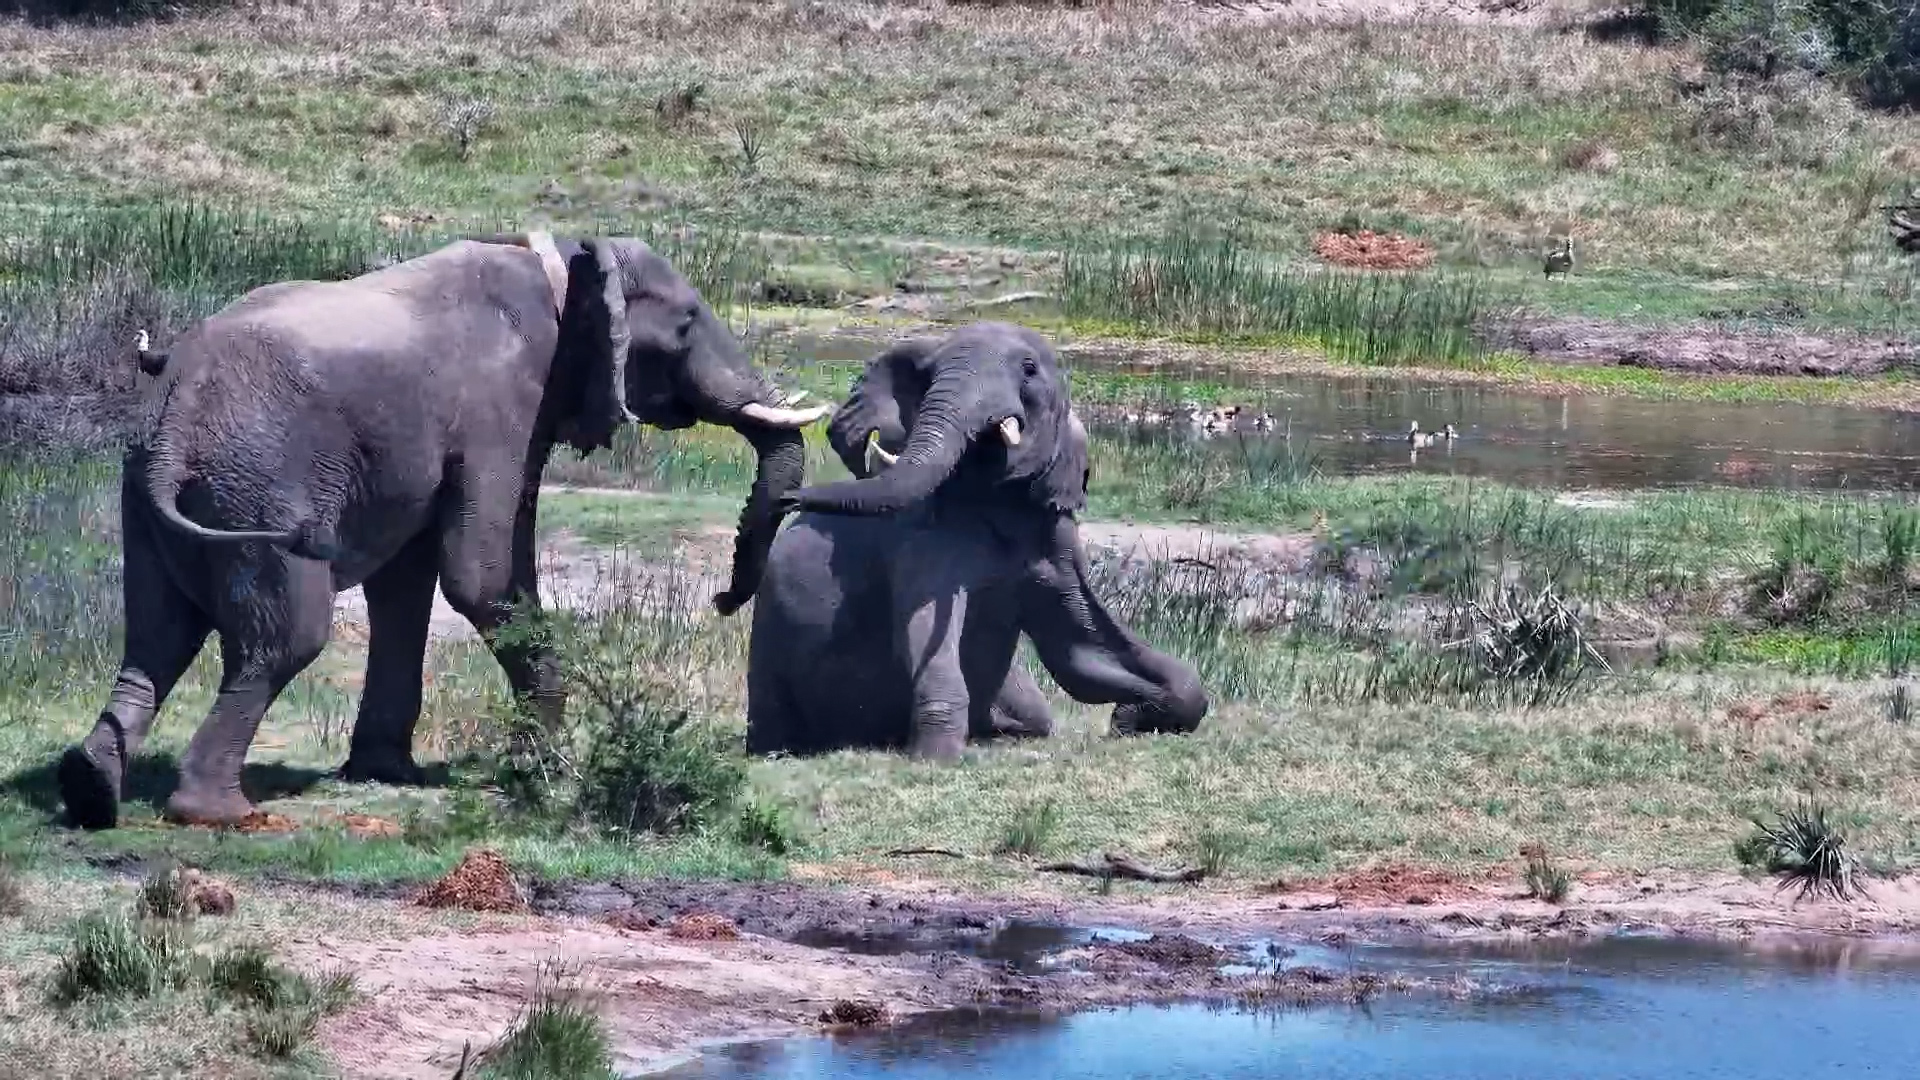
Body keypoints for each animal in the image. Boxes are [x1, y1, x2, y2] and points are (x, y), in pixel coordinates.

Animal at [57, 232, 828, 830]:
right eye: (688, 324)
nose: (722, 601)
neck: (566, 261)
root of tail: (175, 421)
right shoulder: (503, 405)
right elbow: (479, 574)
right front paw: (548, 769)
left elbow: (408, 584)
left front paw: (386, 772)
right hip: (258, 494)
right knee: (285, 638)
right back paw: (217, 813)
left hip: (155, 497)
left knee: (155, 637)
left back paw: (91, 787)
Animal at [744, 321, 1209, 759]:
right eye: (929, 375)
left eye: (1028, 369)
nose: (788, 498)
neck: (997, 502)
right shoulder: (924, 542)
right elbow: (924, 628)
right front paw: (937, 758)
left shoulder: (1055, 544)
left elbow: (1082, 655)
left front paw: (1128, 720)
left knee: (1037, 712)